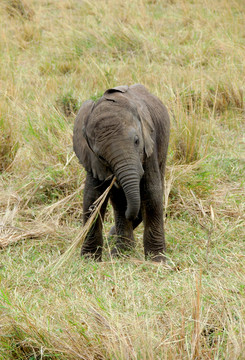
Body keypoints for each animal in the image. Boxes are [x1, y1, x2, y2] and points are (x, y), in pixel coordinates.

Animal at [72, 84, 170, 262]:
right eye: (101, 156)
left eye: (137, 141)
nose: (133, 215)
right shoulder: (92, 159)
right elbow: (93, 198)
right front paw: (89, 260)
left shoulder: (149, 146)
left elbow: (151, 193)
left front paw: (157, 261)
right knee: (119, 201)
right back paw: (122, 252)